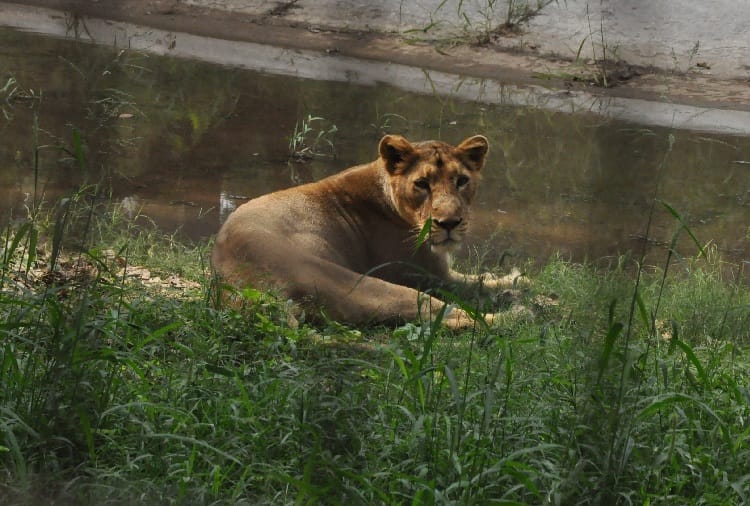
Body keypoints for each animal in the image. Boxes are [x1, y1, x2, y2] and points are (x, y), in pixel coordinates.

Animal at [211, 134, 522, 329]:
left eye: (461, 181)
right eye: (422, 183)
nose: (449, 223)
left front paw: (511, 283)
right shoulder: (432, 276)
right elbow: (477, 283)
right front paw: (516, 282)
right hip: (370, 287)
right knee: (450, 316)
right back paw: (517, 314)